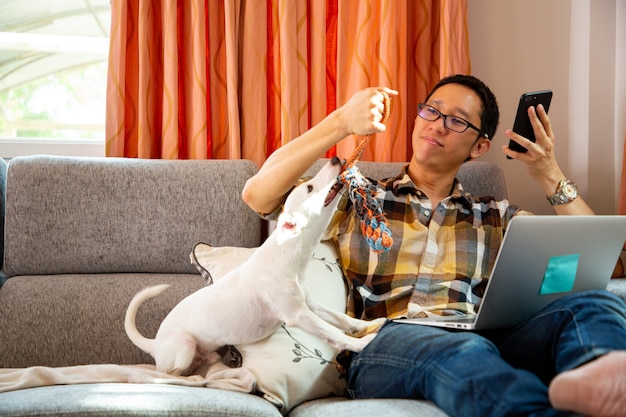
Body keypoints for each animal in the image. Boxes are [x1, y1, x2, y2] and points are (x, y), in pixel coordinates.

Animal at [123, 157, 382, 376]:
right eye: (308, 188)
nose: (336, 158)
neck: (288, 256)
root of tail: (155, 344)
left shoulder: (310, 305)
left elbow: (342, 320)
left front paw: (370, 324)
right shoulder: (298, 315)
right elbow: (334, 333)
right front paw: (362, 343)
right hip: (184, 347)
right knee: (169, 373)